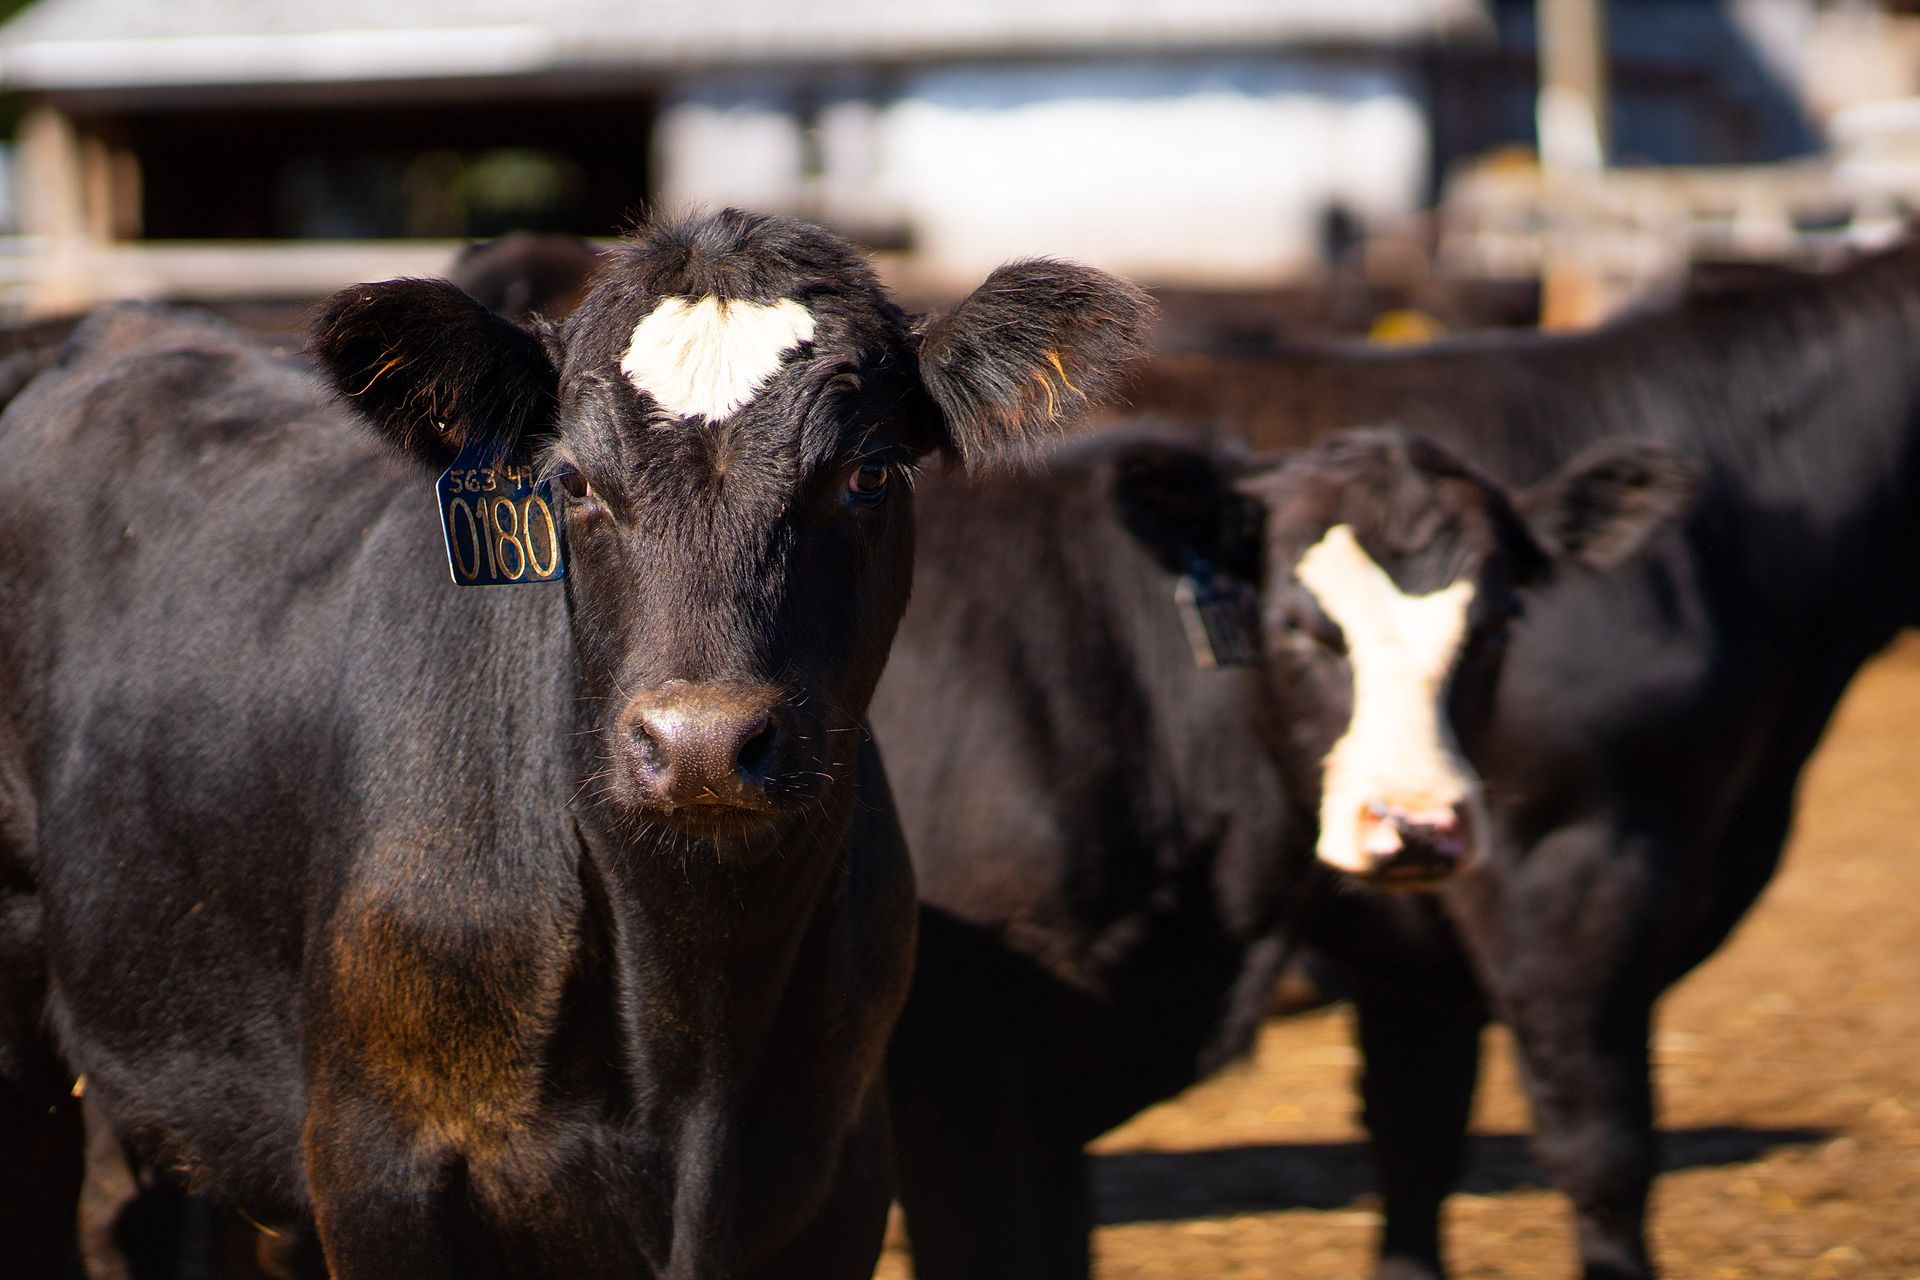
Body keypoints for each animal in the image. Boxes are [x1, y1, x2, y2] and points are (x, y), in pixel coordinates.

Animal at [1116, 239, 1920, 1279]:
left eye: (1503, 619)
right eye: (1298, 628)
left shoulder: (1416, 939)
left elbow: (1415, 1144)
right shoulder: (1569, 870)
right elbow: (1601, 1146)